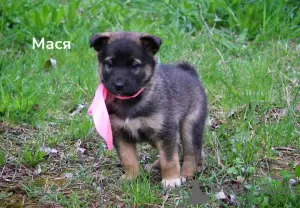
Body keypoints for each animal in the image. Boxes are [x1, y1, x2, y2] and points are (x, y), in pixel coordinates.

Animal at [89, 32, 206, 188]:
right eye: (110, 64)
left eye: (134, 65)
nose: (118, 85)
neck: (131, 101)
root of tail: (191, 74)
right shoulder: (120, 134)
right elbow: (128, 159)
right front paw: (131, 177)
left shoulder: (165, 132)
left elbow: (169, 159)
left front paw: (171, 180)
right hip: (153, 136)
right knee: (178, 147)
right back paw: (156, 166)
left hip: (190, 125)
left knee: (191, 153)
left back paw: (186, 174)